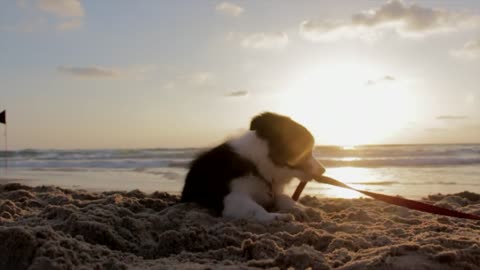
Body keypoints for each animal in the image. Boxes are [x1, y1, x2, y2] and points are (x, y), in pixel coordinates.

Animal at [180, 111, 326, 221]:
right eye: (305, 149)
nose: (323, 170)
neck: (257, 164)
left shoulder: (271, 193)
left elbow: (284, 198)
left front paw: (299, 208)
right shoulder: (232, 197)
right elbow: (255, 208)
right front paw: (275, 217)